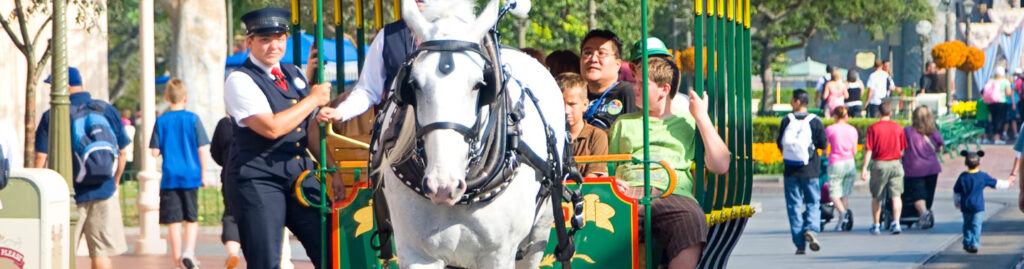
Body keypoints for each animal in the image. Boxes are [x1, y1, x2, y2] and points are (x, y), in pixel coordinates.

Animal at [374, 0, 569, 267]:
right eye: (413, 84)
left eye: (479, 84)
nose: (442, 185)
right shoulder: (416, 253)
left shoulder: (499, 255)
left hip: (539, 232)